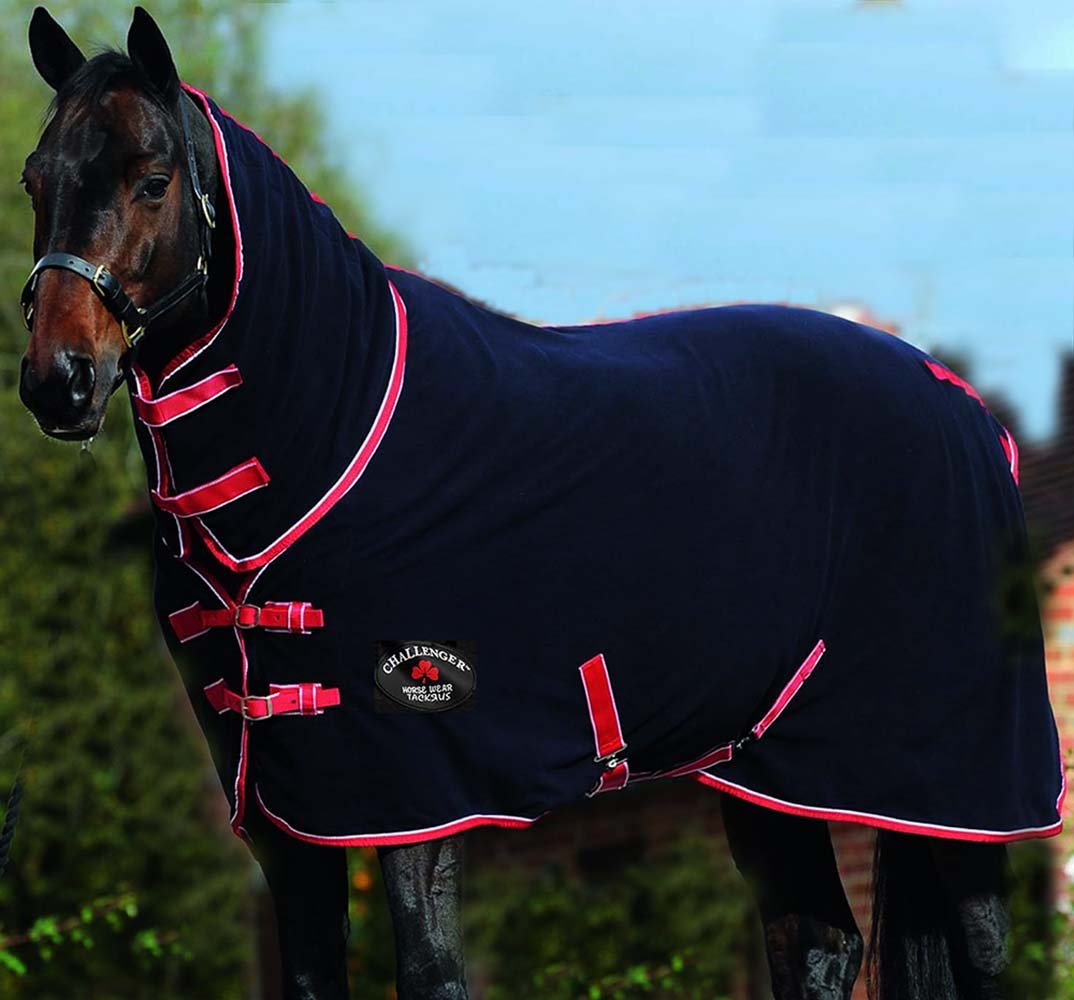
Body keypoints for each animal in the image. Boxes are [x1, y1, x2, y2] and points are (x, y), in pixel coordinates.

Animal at [17, 8, 1064, 1000]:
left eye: (152, 179)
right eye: (35, 180)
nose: (58, 382)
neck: (329, 444)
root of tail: (969, 410)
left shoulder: (410, 788)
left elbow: (432, 972)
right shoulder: (285, 812)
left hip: (956, 782)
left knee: (983, 952)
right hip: (778, 775)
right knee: (820, 947)